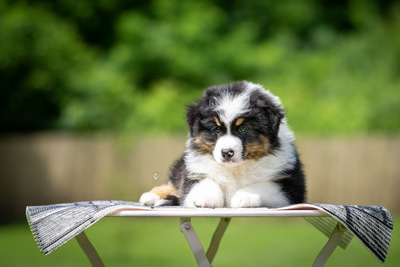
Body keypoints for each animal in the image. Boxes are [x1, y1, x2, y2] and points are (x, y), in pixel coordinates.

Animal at [140, 81, 306, 209]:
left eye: (243, 128)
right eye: (216, 129)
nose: (227, 152)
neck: (235, 169)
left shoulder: (290, 186)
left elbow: (264, 186)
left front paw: (245, 196)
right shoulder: (194, 172)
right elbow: (204, 181)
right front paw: (206, 197)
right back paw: (151, 196)